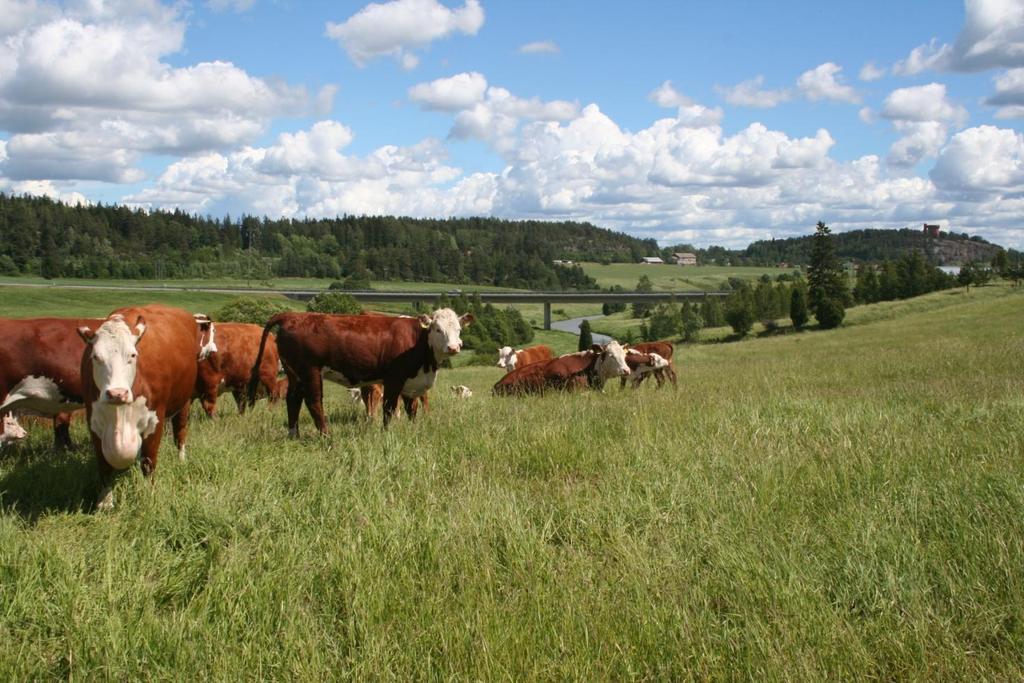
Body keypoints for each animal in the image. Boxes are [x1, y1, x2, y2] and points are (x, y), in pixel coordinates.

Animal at [79, 307, 216, 509]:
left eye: (133, 355)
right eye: (96, 357)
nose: (117, 393)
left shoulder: (154, 421)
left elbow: (149, 462)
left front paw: (149, 495)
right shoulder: (94, 423)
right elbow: (104, 466)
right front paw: (105, 503)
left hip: (184, 402)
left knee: (180, 433)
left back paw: (181, 459)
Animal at [249, 309, 473, 432]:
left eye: (458, 329)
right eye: (438, 329)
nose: (454, 347)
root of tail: (291, 316)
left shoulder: (411, 384)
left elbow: (412, 410)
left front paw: (413, 430)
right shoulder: (393, 379)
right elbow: (389, 408)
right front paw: (386, 432)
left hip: (294, 373)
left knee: (293, 401)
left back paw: (294, 434)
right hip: (309, 371)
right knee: (314, 403)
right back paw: (326, 436)